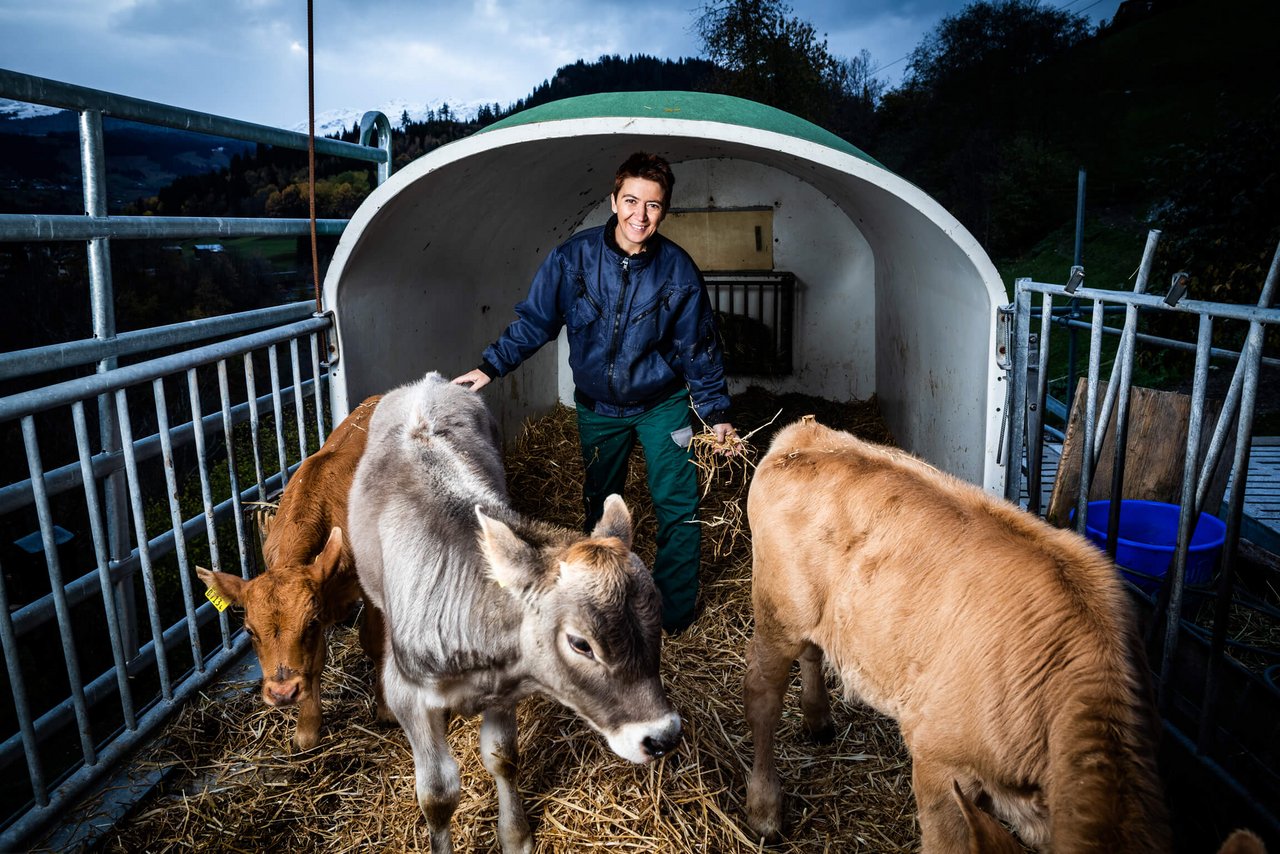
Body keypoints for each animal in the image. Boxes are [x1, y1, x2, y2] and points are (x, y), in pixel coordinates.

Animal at [195, 396, 389, 747]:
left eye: (309, 622)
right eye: (249, 631)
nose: (282, 692)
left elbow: (372, 640)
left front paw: (386, 708)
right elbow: (314, 661)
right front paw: (307, 728)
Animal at [742, 417, 1259, 854]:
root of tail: (803, 434)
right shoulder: (938, 760)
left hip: (815, 616)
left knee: (812, 651)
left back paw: (818, 721)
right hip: (776, 610)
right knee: (762, 694)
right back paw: (765, 811)